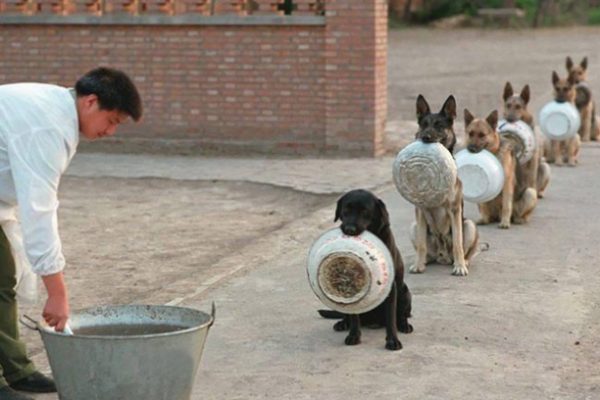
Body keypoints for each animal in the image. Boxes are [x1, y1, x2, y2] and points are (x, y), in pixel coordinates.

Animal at [318, 190, 412, 350]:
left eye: (365, 212)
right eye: (346, 210)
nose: (349, 229)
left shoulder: (390, 288)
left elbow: (391, 318)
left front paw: (392, 340)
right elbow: (354, 317)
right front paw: (354, 336)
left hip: (405, 292)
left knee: (401, 315)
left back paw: (404, 325)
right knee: (347, 316)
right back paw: (343, 323)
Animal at [408, 94, 478, 276]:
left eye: (439, 125)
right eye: (424, 125)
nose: (425, 137)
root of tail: (442, 256)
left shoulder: (454, 209)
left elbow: (458, 243)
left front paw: (460, 267)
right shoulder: (420, 211)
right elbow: (421, 244)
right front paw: (418, 265)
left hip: (469, 225)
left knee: (465, 249)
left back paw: (464, 262)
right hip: (414, 226)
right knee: (425, 248)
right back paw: (425, 261)